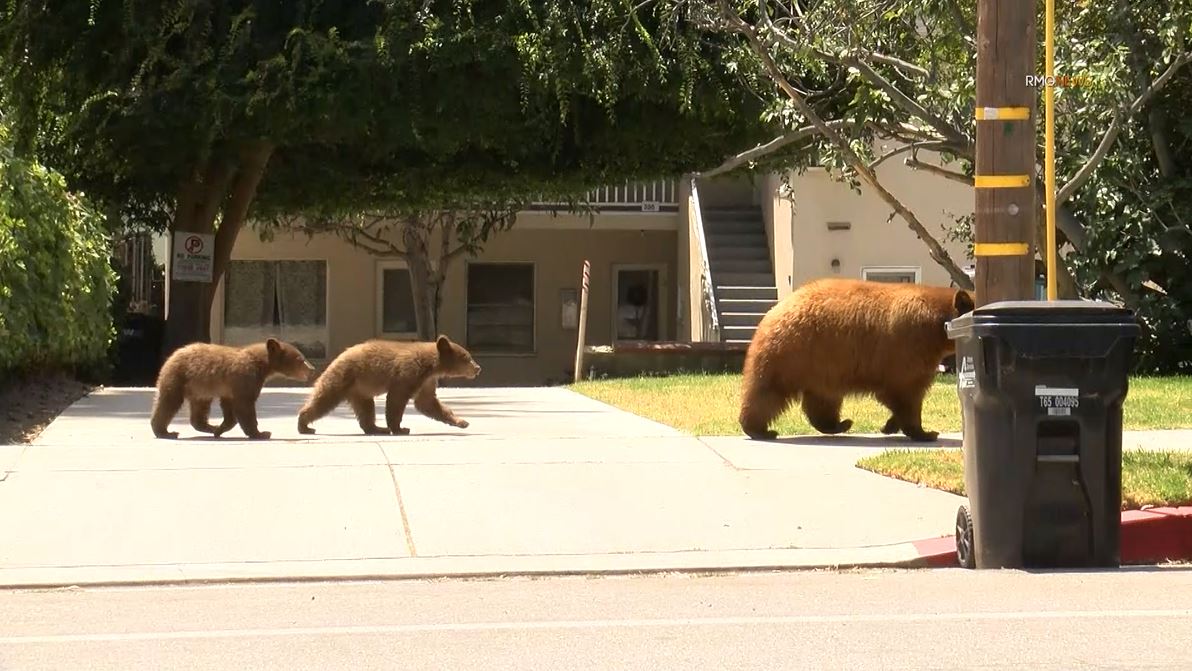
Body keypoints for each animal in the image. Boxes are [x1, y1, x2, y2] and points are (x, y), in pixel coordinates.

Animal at [739, 275, 972, 443]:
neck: (937, 324)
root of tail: (774, 310)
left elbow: (899, 393)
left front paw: (891, 425)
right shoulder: (910, 348)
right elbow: (908, 391)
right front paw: (925, 432)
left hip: (822, 367)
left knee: (822, 400)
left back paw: (839, 424)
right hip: (792, 355)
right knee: (768, 392)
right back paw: (759, 429)